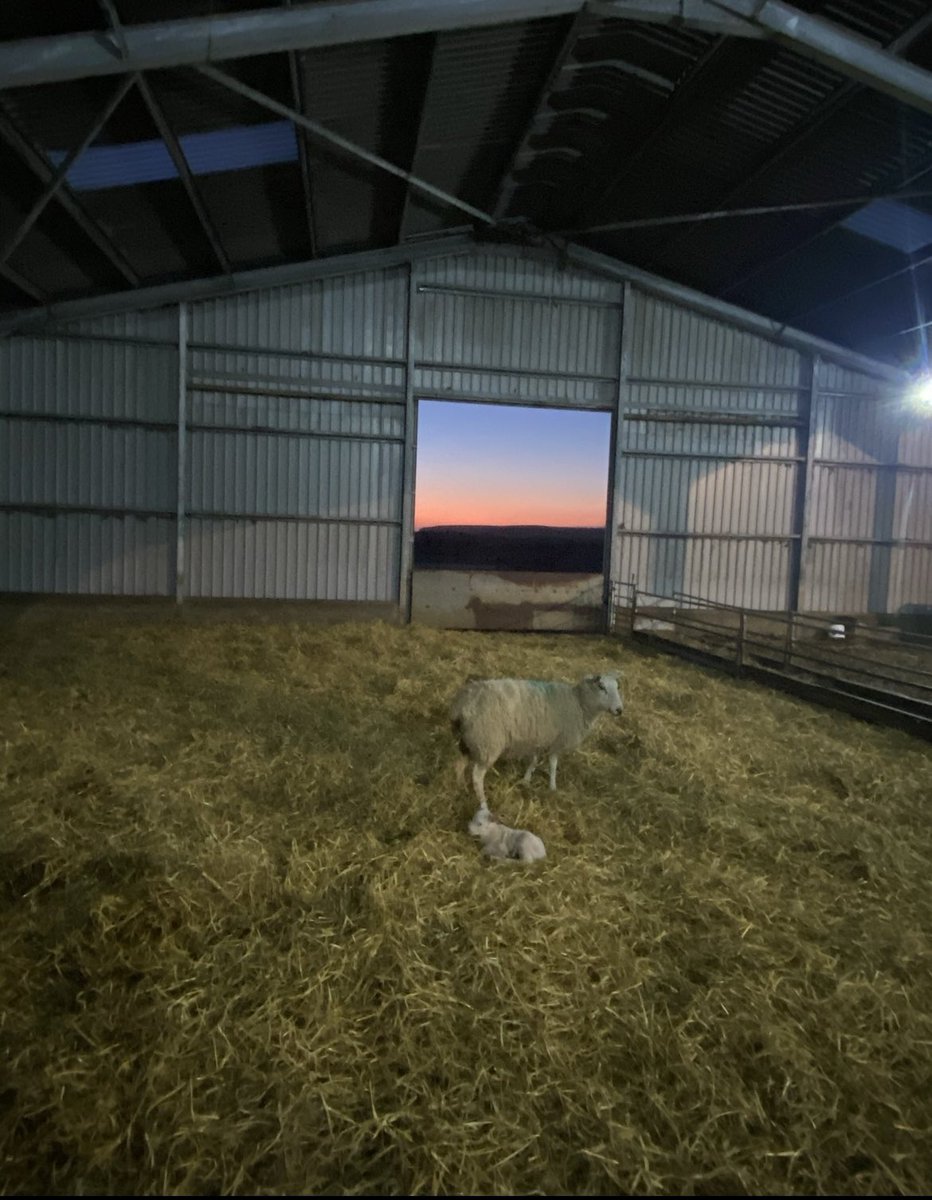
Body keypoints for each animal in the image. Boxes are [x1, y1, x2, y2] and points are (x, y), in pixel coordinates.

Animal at [451, 673, 623, 811]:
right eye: (601, 687)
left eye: (617, 687)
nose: (619, 710)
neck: (579, 703)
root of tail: (463, 704)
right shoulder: (557, 742)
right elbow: (553, 764)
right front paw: (552, 787)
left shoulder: (537, 739)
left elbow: (533, 760)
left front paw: (526, 780)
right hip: (488, 742)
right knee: (477, 776)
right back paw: (483, 804)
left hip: (468, 742)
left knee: (459, 765)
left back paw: (460, 788)